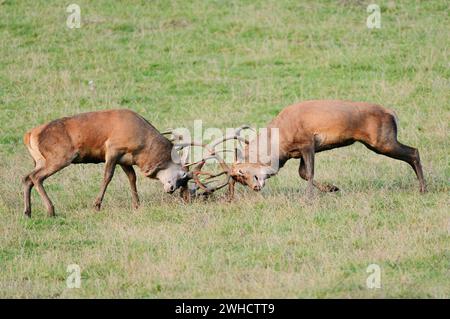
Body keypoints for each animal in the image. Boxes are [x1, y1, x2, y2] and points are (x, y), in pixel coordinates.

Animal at [22, 109, 192, 218]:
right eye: (184, 174)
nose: (174, 190)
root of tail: (29, 135)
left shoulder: (125, 160)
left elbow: (132, 177)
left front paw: (137, 204)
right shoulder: (112, 149)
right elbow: (107, 177)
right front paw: (96, 205)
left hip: (40, 161)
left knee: (26, 178)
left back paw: (28, 212)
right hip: (60, 157)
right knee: (36, 177)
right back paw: (51, 210)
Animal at [193, 100, 426, 200]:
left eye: (241, 172)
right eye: (237, 179)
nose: (256, 187)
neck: (280, 143)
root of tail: (393, 113)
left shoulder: (307, 142)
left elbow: (309, 173)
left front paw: (309, 198)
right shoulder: (298, 153)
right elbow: (303, 173)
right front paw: (332, 188)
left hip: (382, 141)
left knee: (414, 151)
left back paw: (423, 188)